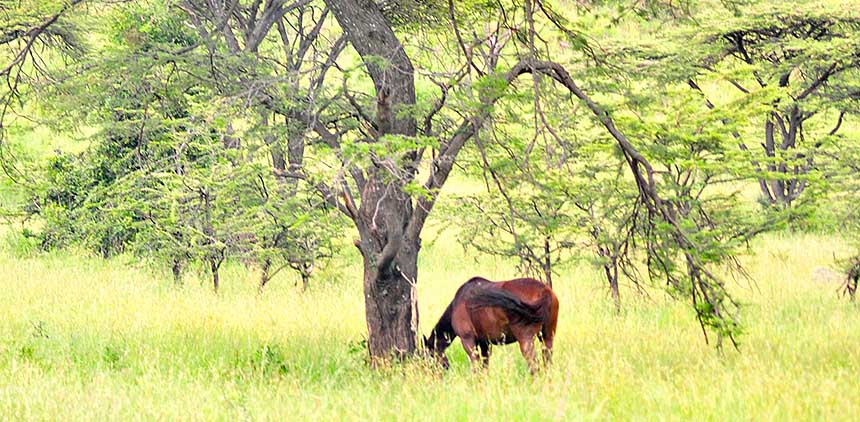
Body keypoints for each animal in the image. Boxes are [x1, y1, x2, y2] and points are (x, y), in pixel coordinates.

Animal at [422, 276, 556, 372]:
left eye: (427, 357)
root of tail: (544, 291)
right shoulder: (485, 343)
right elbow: (484, 367)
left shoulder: (468, 340)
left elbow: (476, 367)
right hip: (547, 338)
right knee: (547, 363)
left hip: (526, 340)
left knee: (534, 366)